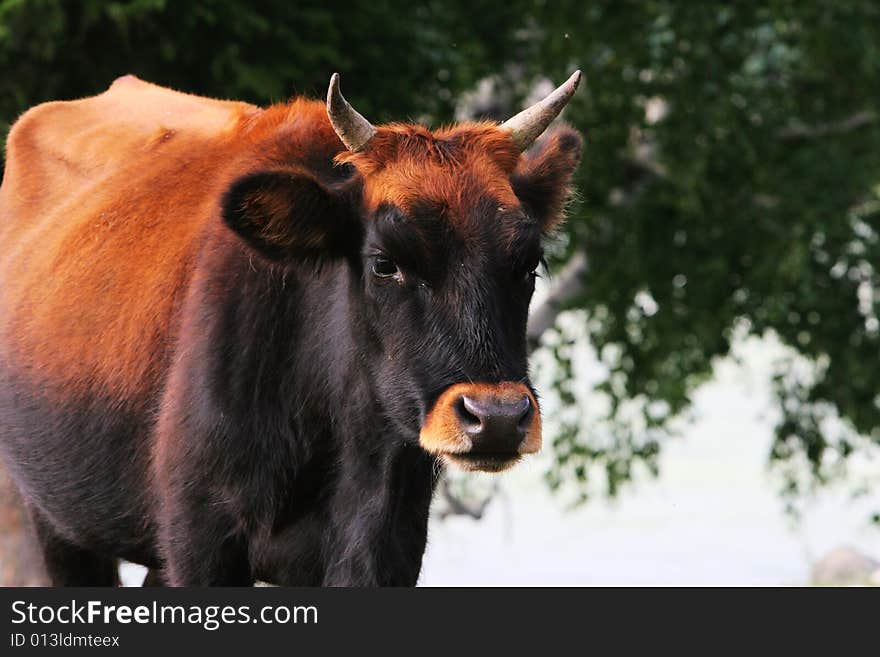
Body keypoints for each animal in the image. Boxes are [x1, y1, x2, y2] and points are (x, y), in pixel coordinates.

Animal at [0, 72, 584, 584]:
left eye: (528, 264)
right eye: (384, 262)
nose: (497, 418)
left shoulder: (387, 548)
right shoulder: (200, 540)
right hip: (56, 518)